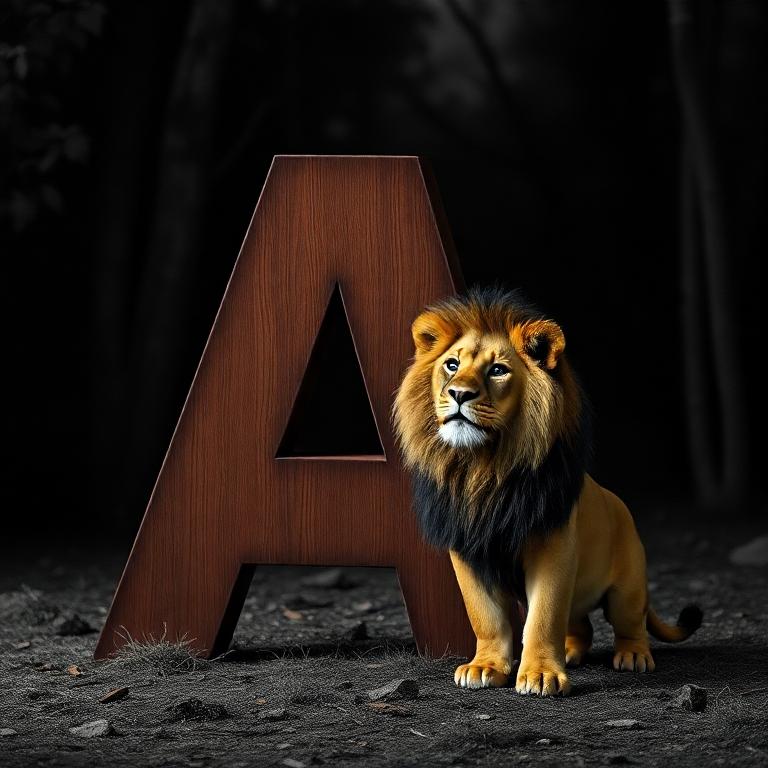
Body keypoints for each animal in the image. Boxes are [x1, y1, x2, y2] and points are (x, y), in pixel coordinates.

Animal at [393, 286, 701, 696]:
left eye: (497, 370)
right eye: (452, 365)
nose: (458, 394)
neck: (483, 470)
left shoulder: (553, 544)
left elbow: (543, 616)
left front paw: (540, 674)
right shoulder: (467, 549)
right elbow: (485, 617)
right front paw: (485, 666)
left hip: (629, 587)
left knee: (629, 623)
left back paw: (633, 656)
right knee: (581, 626)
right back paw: (571, 651)